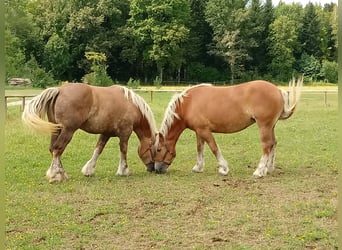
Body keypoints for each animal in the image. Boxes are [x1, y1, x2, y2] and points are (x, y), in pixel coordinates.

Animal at [22, 83, 158, 183]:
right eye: (156, 150)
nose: (153, 169)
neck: (131, 104)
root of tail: (59, 90)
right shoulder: (125, 133)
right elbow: (123, 151)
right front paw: (124, 171)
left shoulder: (106, 133)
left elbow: (98, 150)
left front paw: (89, 170)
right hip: (68, 131)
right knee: (57, 149)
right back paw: (56, 176)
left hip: (56, 130)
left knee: (53, 150)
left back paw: (61, 173)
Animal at [154, 78, 302, 178]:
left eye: (159, 149)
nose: (156, 169)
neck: (189, 103)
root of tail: (278, 90)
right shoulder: (198, 131)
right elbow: (200, 148)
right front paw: (198, 167)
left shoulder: (204, 130)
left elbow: (214, 148)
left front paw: (223, 168)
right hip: (271, 126)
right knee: (273, 143)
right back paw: (268, 168)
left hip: (264, 125)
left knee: (267, 145)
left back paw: (259, 171)